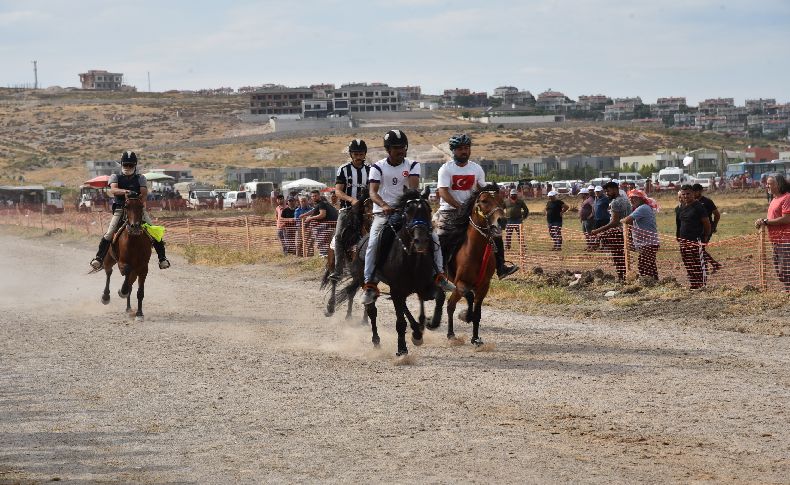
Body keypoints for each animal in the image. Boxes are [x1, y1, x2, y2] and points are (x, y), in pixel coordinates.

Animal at [100, 193, 152, 322]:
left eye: (141, 206)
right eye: (126, 206)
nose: (135, 227)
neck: (134, 241)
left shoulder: (143, 268)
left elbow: (140, 292)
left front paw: (139, 313)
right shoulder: (122, 263)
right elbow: (126, 273)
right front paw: (122, 291)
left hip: (135, 271)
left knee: (130, 284)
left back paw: (128, 308)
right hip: (108, 260)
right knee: (109, 273)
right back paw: (106, 297)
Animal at [340, 189, 440, 356]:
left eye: (429, 210)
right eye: (407, 212)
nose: (421, 241)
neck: (411, 258)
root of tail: (360, 242)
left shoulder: (423, 287)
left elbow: (430, 303)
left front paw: (423, 328)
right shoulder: (397, 289)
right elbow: (400, 322)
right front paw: (402, 349)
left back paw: (416, 331)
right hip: (369, 281)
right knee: (372, 310)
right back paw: (376, 341)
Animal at [426, 183, 508, 346]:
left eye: (501, 201)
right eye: (484, 201)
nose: (501, 221)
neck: (476, 251)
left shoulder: (483, 286)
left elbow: (477, 312)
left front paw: (475, 338)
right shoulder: (461, 283)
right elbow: (469, 297)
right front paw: (465, 316)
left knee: (448, 303)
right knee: (449, 303)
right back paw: (447, 332)